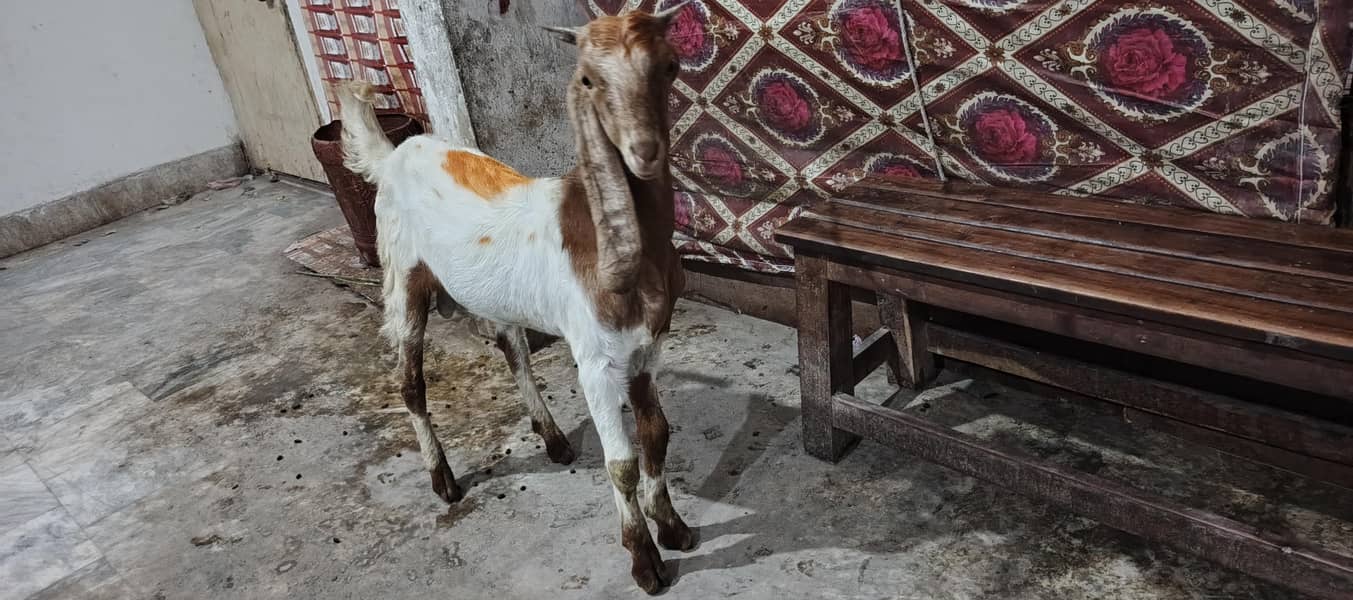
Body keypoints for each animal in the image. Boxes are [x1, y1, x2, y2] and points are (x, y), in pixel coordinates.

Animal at [337, 6, 693, 594]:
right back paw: (443, 479)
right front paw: (644, 561)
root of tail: (395, 154)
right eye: (587, 79)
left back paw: (552, 437)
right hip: (402, 271)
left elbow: (657, 435)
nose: (643, 152)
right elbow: (620, 462)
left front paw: (674, 527)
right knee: (409, 379)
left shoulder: (648, 349)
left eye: (671, 66)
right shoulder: (596, 359)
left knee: (513, 351)